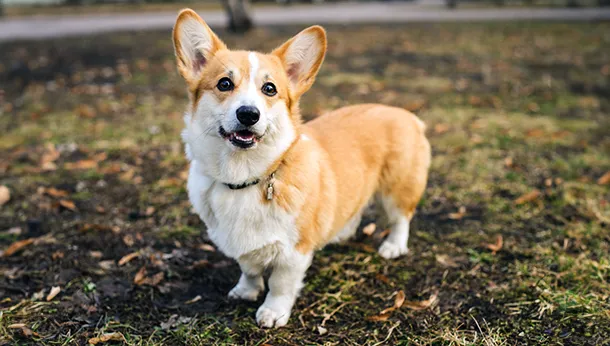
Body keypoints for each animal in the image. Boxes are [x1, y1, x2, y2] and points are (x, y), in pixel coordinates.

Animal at [171, 8, 428, 328]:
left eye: (269, 89)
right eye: (224, 84)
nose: (248, 114)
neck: (245, 176)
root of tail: (406, 114)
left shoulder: (293, 252)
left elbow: (280, 284)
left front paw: (273, 312)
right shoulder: (241, 245)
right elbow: (249, 268)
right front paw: (246, 290)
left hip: (397, 188)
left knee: (401, 218)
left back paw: (394, 246)